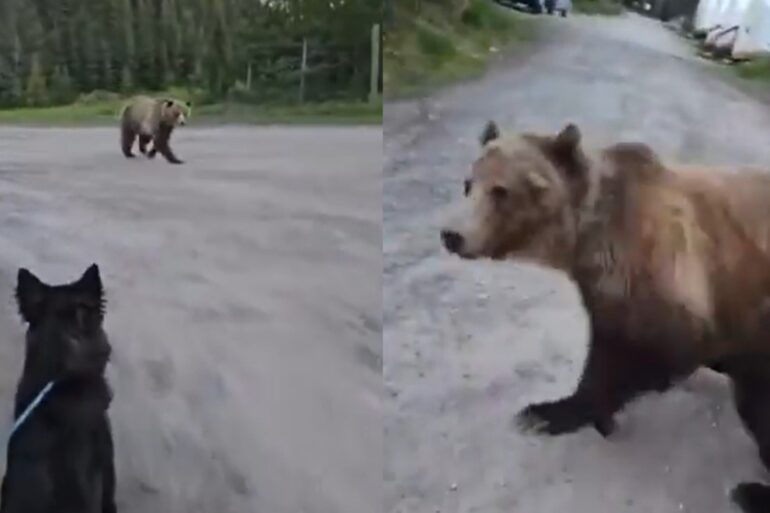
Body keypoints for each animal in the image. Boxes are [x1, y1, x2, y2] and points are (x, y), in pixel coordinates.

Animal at [440, 120, 770, 513]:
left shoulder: (664, 275)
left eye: (501, 190)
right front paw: (552, 410)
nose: (452, 235)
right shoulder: (606, 289)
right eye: (467, 184)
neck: (586, 239)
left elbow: (651, 352)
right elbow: (605, 347)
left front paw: (550, 413)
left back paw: (751, 491)